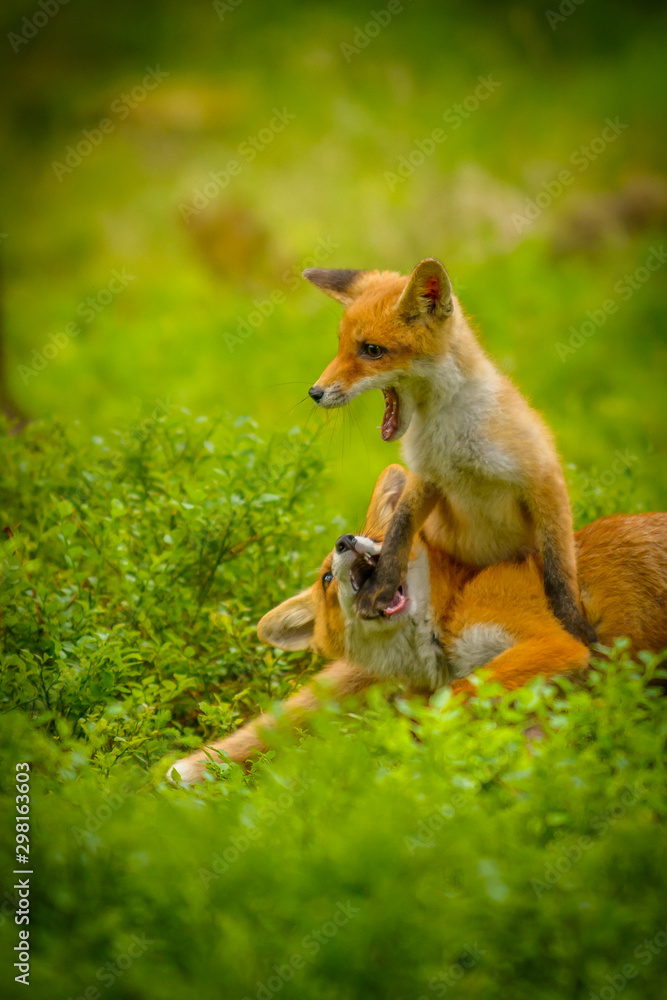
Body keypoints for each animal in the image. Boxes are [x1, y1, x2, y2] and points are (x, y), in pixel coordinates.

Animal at [169, 465, 667, 784]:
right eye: (327, 579)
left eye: (379, 537)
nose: (345, 541)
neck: (443, 626)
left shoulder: (553, 644)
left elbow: (448, 705)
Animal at [303, 258, 596, 646]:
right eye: (340, 346)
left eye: (372, 350)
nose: (314, 393)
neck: (453, 443)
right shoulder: (427, 478)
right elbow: (398, 531)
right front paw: (379, 589)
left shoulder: (543, 479)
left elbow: (559, 571)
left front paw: (578, 632)